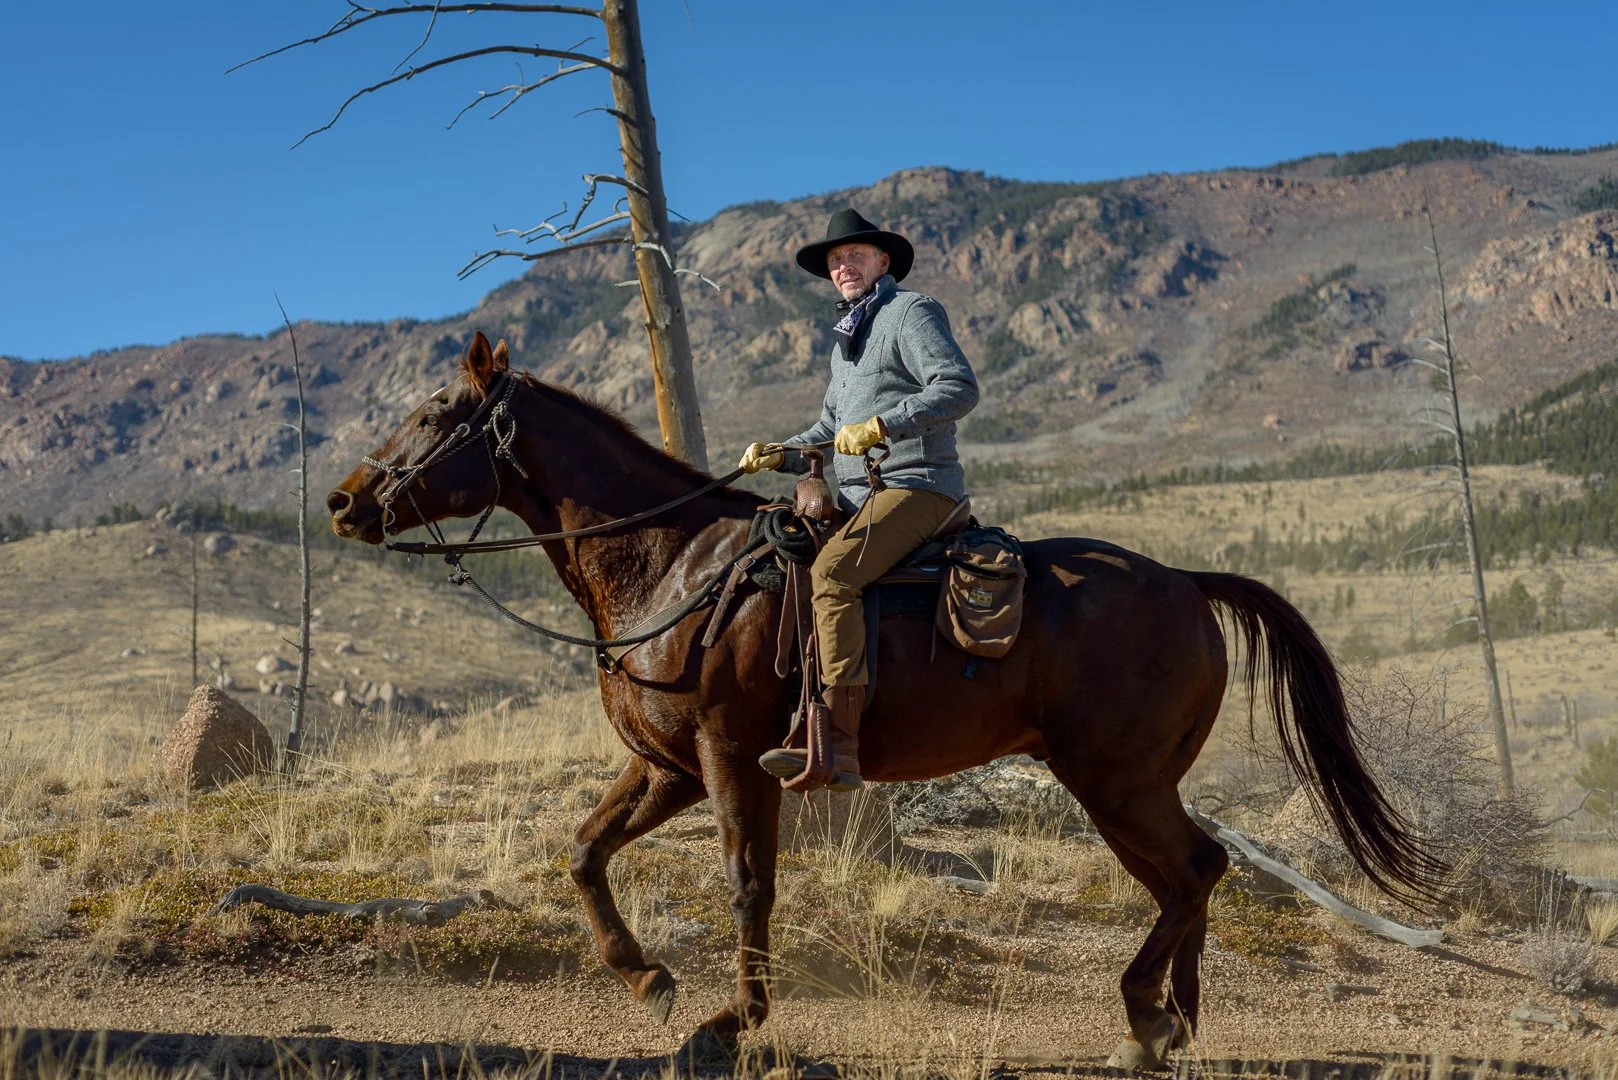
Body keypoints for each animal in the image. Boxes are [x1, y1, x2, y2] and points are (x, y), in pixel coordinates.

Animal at [327, 332, 1443, 1068]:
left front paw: (729, 1023)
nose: (343, 501)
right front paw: (647, 980)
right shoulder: (665, 767)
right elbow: (585, 853)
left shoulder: (731, 760)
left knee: (1195, 871)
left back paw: (1152, 1015)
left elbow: (747, 884)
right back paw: (1167, 1023)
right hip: (1124, 785)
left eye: (434, 417)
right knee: (1188, 879)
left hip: (1114, 781)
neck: (670, 563)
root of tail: (1186, 581)